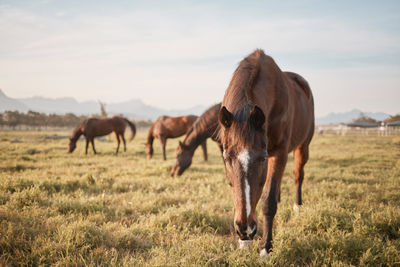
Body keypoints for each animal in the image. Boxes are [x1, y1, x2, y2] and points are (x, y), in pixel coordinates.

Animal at [217, 49, 314, 258]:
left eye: (261, 158)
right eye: (227, 158)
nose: (245, 229)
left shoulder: (279, 153)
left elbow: (268, 202)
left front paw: (265, 248)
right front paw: (243, 243)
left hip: (303, 146)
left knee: (297, 175)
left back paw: (297, 207)